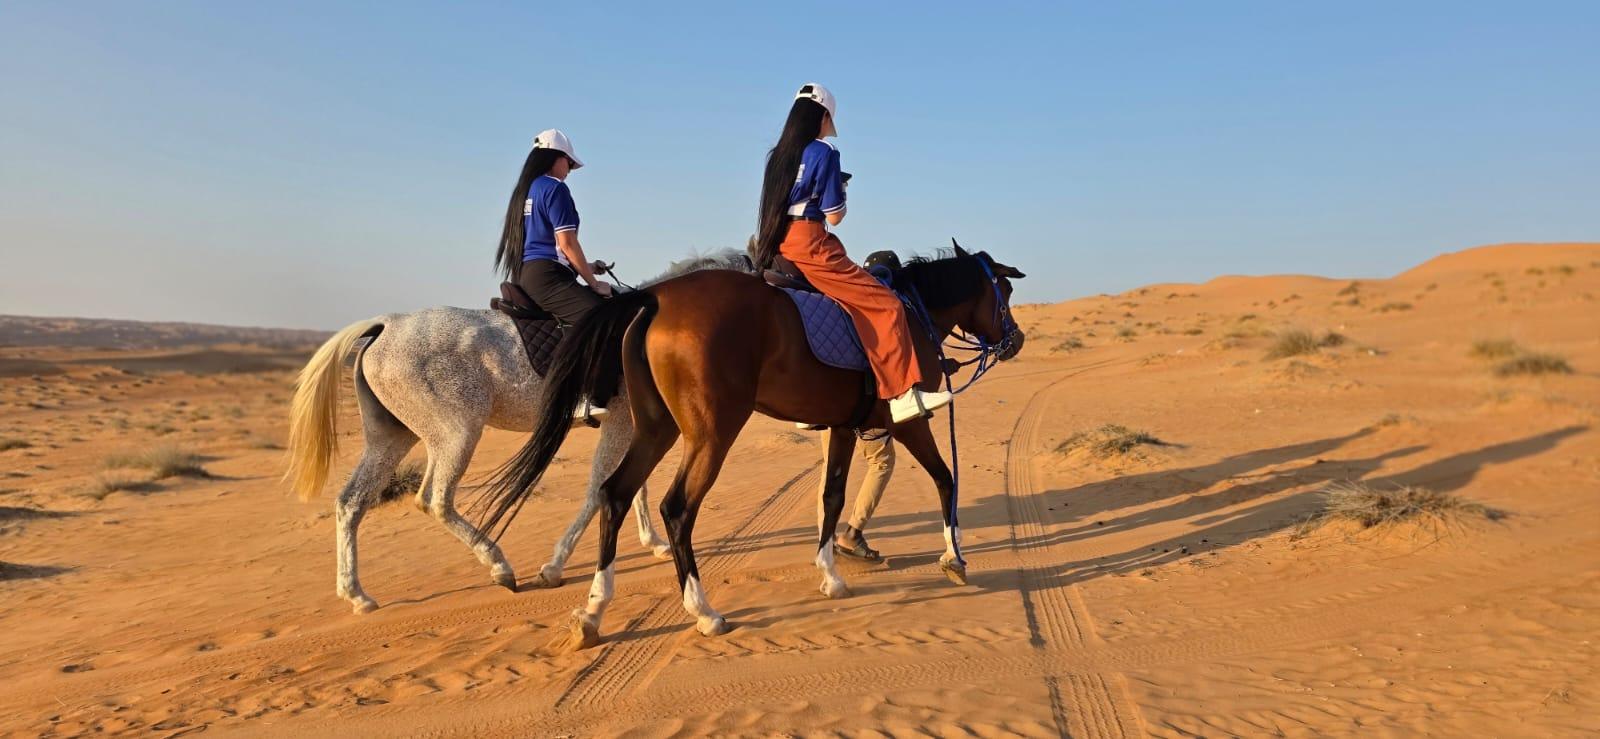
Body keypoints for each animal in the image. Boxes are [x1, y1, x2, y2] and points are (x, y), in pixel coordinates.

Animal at [282, 251, 750, 614]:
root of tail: (384, 325)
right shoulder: (622, 422)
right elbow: (601, 488)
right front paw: (556, 566)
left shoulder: (634, 425)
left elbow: (634, 486)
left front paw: (651, 541)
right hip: (457, 433)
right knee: (434, 500)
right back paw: (499, 566)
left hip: (392, 437)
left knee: (351, 502)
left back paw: (357, 594)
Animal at [476, 243, 1024, 647]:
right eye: (1003, 290)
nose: (1015, 339)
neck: (914, 313)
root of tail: (655, 299)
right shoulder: (908, 422)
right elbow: (945, 478)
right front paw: (954, 559)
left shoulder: (843, 427)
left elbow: (832, 497)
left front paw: (831, 576)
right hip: (712, 432)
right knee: (677, 508)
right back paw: (703, 611)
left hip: (655, 428)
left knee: (614, 494)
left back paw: (592, 613)